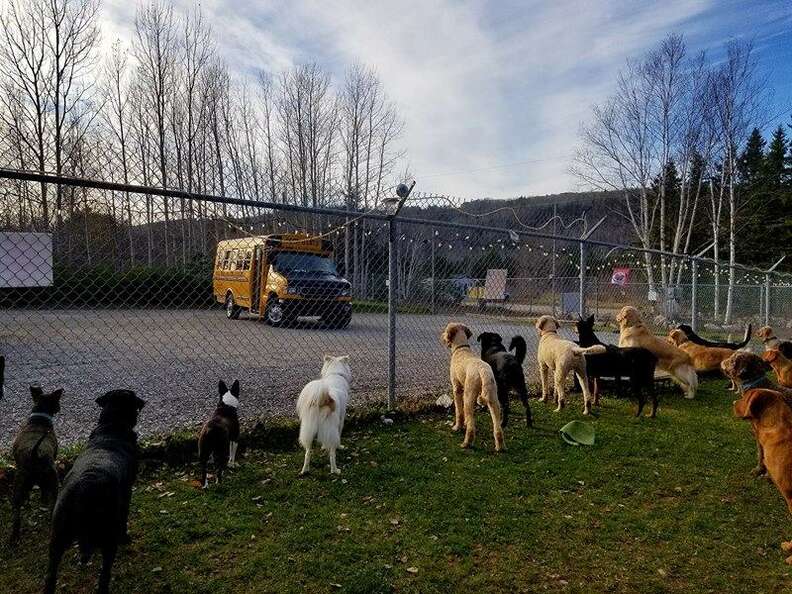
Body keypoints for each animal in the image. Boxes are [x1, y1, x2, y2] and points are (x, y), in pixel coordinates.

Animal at [9, 384, 62, 544]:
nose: (59, 407)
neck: (39, 419)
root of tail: (35, 454)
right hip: (52, 481)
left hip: (20, 483)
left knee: (17, 513)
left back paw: (14, 537)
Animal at [44, 388, 145, 592]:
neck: (113, 426)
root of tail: (85, 488)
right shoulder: (127, 492)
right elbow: (125, 516)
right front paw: (126, 537)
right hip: (108, 536)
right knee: (104, 574)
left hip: (57, 536)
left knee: (50, 576)